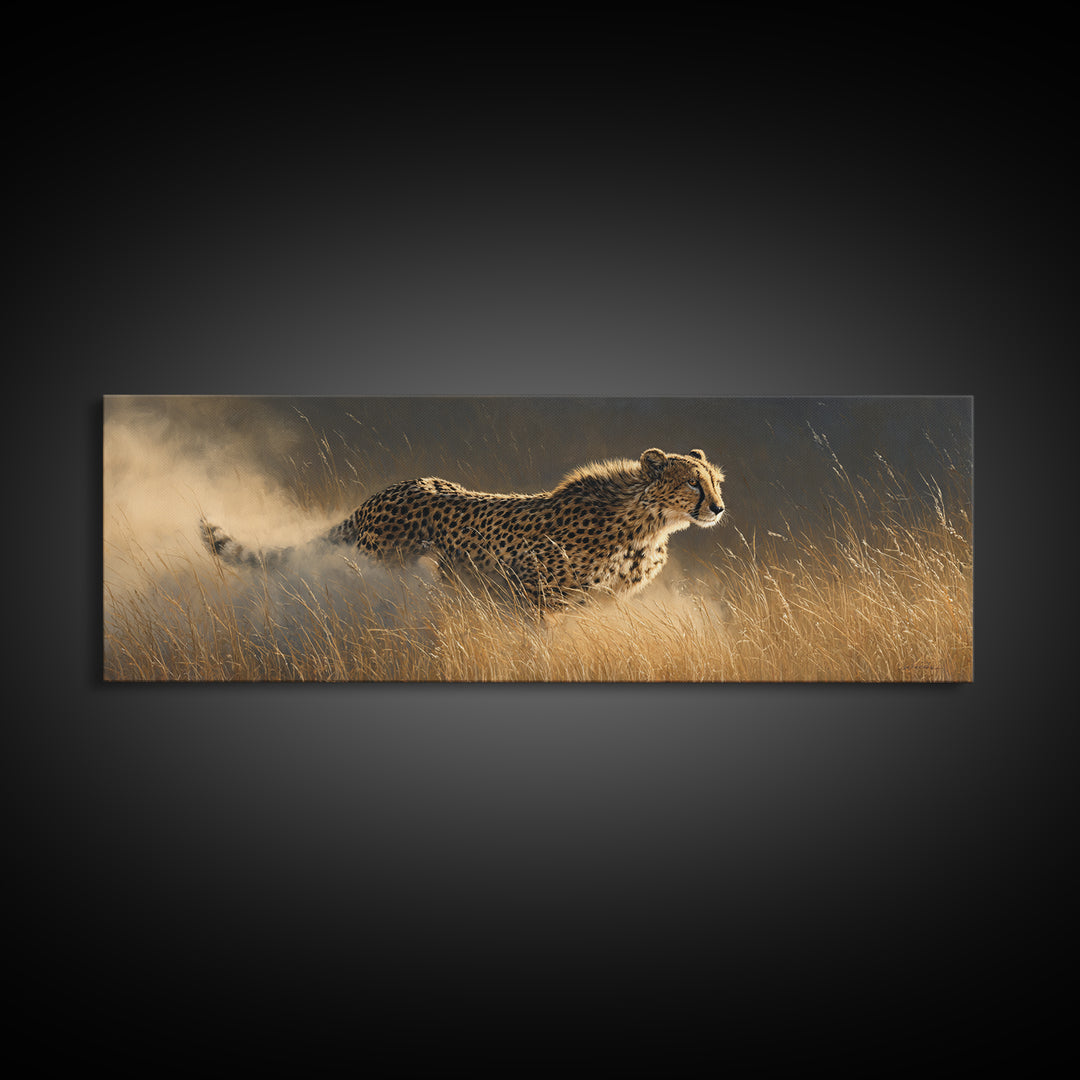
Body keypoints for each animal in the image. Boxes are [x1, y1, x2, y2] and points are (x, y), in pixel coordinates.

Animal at [202, 447, 726, 611]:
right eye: (692, 482)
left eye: (715, 481)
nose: (718, 508)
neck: (647, 524)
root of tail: (389, 490)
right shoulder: (533, 588)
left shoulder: (600, 602)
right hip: (386, 570)